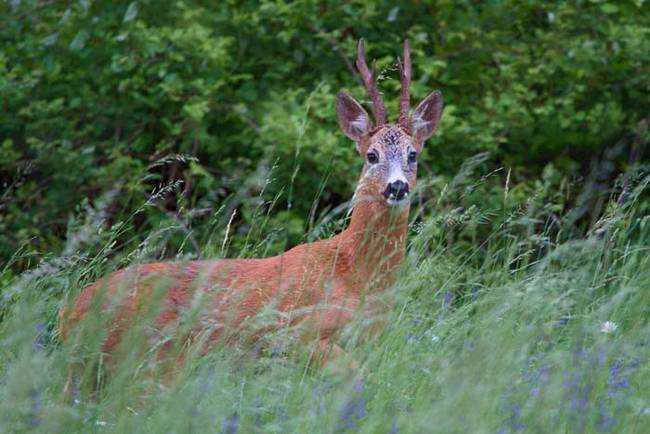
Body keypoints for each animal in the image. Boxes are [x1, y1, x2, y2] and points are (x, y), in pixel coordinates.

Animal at [59, 38, 440, 376]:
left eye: (413, 154)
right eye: (371, 155)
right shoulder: (295, 333)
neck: (357, 275)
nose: (397, 187)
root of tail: (67, 315)